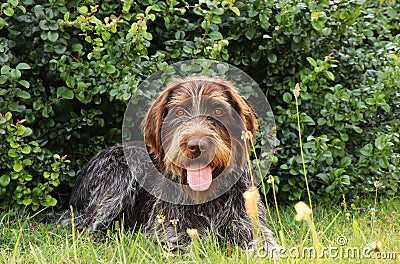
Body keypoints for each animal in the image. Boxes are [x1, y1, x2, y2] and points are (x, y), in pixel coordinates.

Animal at [69, 77, 280, 258]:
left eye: (218, 111)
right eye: (179, 112)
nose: (197, 146)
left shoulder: (250, 224)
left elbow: (266, 244)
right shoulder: (169, 231)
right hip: (122, 174)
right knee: (82, 228)